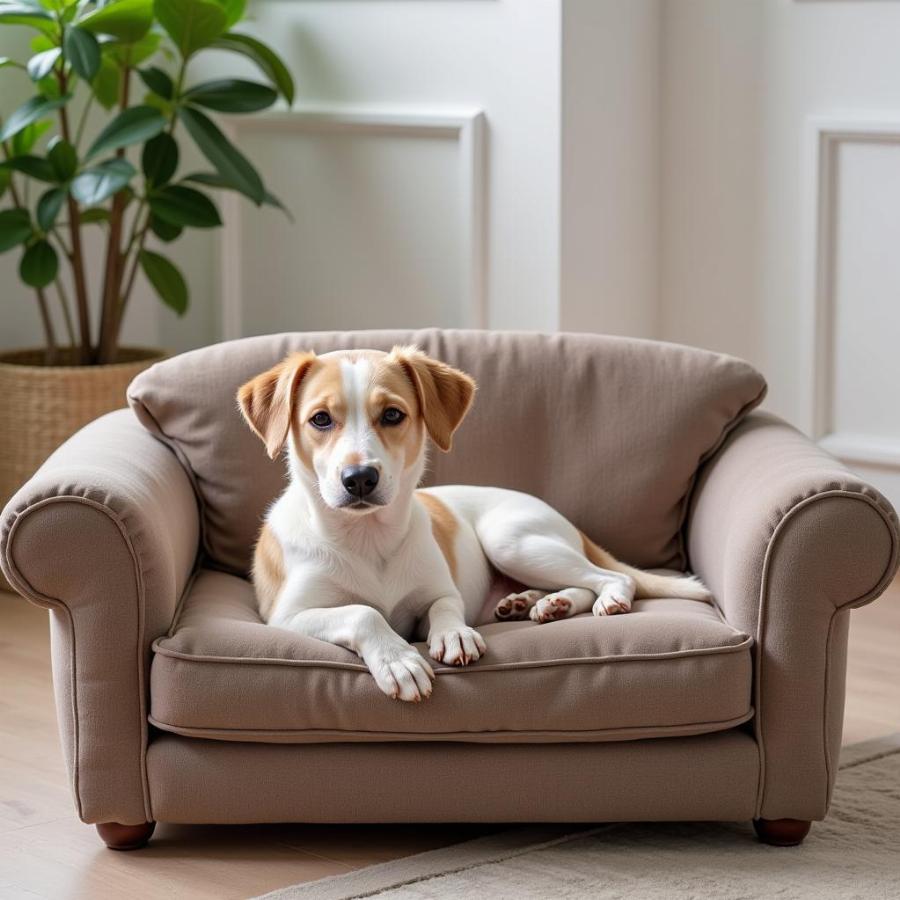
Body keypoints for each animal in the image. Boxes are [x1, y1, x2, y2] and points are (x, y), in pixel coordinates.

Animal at [237, 344, 712, 704]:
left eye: (392, 415)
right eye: (320, 419)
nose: (359, 479)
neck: (369, 538)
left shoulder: (439, 593)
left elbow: (445, 606)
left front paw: (455, 635)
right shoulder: (286, 618)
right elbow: (363, 612)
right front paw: (398, 659)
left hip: (511, 541)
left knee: (610, 577)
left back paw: (590, 599)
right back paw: (537, 603)